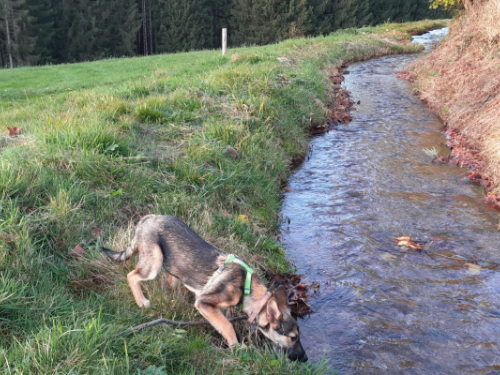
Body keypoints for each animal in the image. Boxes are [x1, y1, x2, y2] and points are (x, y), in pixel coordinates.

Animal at [101, 216, 306, 362]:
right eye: (293, 337)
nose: (305, 359)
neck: (248, 289)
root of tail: (148, 218)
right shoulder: (204, 302)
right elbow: (227, 325)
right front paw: (236, 348)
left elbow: (223, 321)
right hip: (154, 262)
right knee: (132, 275)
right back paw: (141, 302)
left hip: (173, 264)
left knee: (171, 280)